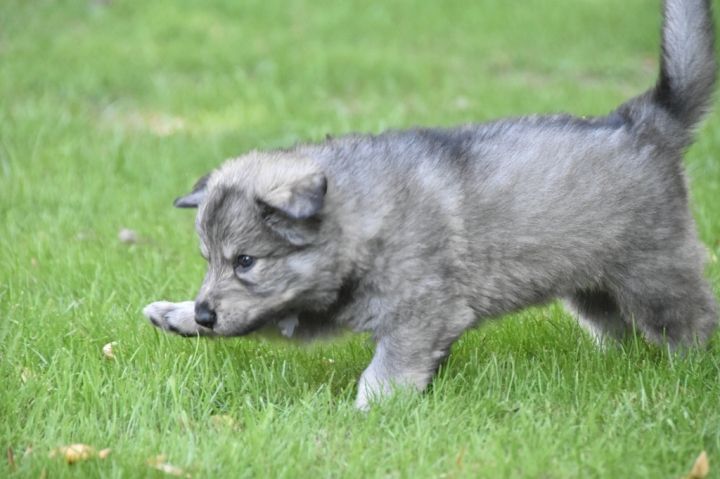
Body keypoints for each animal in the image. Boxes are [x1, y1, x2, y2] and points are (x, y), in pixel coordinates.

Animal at [144, 0, 718, 410]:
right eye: (210, 261)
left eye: (246, 261)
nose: (205, 312)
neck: (362, 220)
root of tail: (644, 122)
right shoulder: (310, 309)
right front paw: (176, 313)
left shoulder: (422, 315)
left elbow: (388, 370)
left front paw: (368, 412)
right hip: (592, 286)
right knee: (618, 328)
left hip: (654, 275)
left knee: (692, 322)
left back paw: (691, 371)